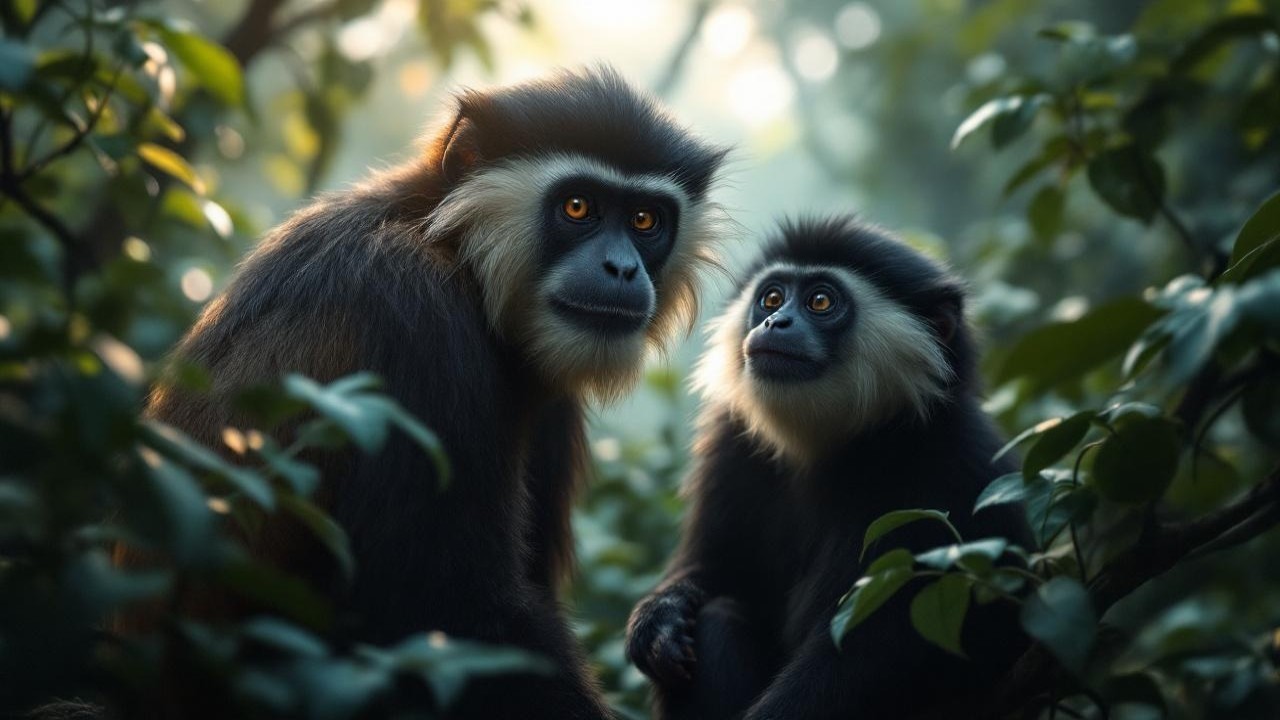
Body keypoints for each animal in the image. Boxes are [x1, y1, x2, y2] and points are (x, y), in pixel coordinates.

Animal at [135, 66, 729, 719]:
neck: (447, 239)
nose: (622, 269)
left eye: (646, 220)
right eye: (579, 206)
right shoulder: (420, 318)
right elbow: (447, 615)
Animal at [625, 217, 1033, 720]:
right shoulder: (731, 441)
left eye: (820, 301)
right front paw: (658, 617)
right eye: (772, 298)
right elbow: (714, 566)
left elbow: (872, 647)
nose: (774, 322)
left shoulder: (955, 462)